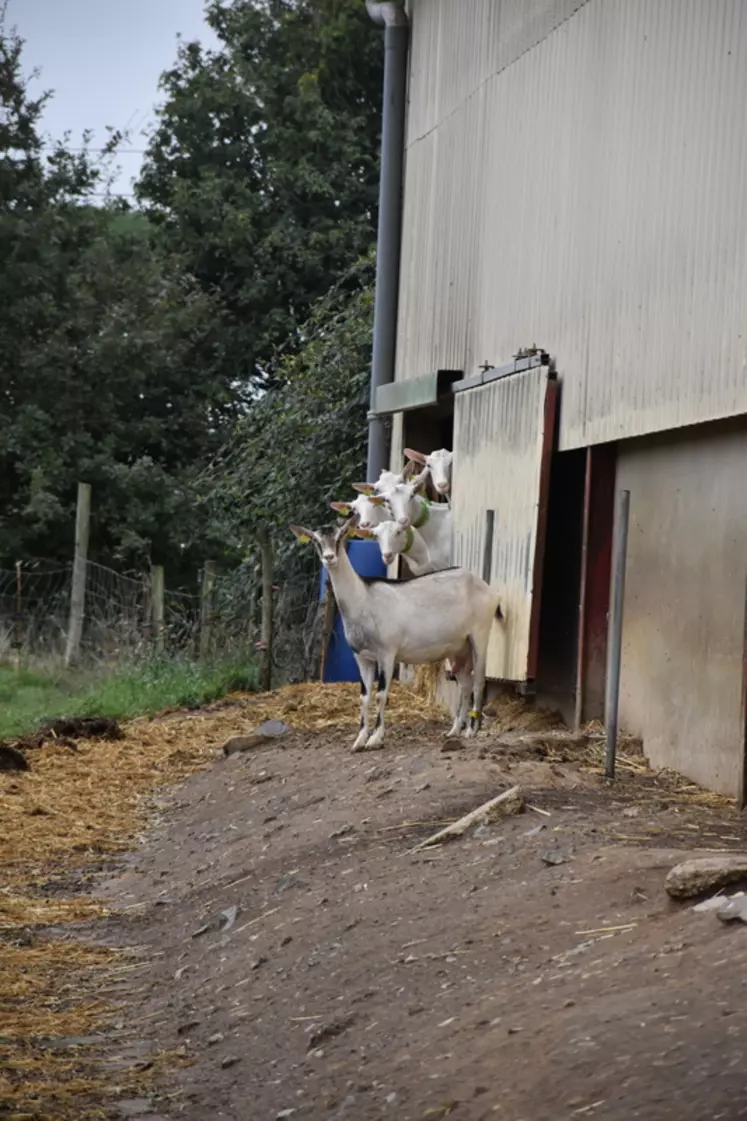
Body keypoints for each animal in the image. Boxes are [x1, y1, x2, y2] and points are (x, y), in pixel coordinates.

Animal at [289, 517, 500, 753]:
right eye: (316, 540)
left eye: (341, 536)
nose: (329, 558)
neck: (365, 599)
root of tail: (487, 589)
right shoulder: (361, 656)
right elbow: (364, 697)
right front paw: (359, 740)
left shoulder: (387, 654)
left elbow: (381, 694)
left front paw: (375, 738)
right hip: (458, 649)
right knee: (465, 682)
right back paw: (455, 730)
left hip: (480, 634)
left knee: (478, 681)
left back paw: (472, 730)